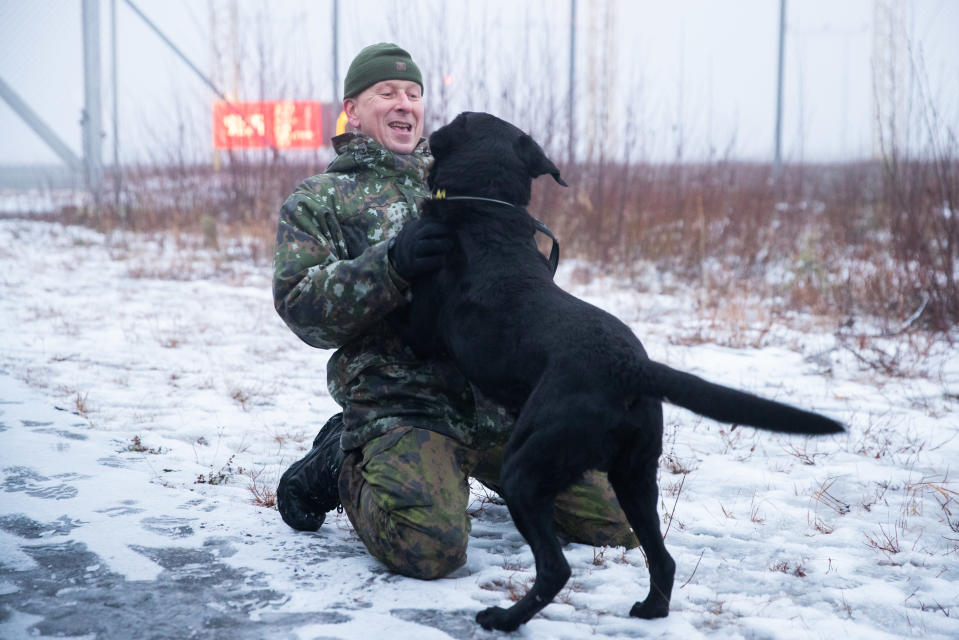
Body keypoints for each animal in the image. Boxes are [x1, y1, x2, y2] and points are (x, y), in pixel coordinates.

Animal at [394, 112, 844, 632]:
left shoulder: (420, 332)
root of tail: (632, 369)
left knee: (555, 568)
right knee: (662, 558)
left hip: (526, 469)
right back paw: (650, 610)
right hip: (634, 476)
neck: (487, 207)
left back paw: (504, 619)